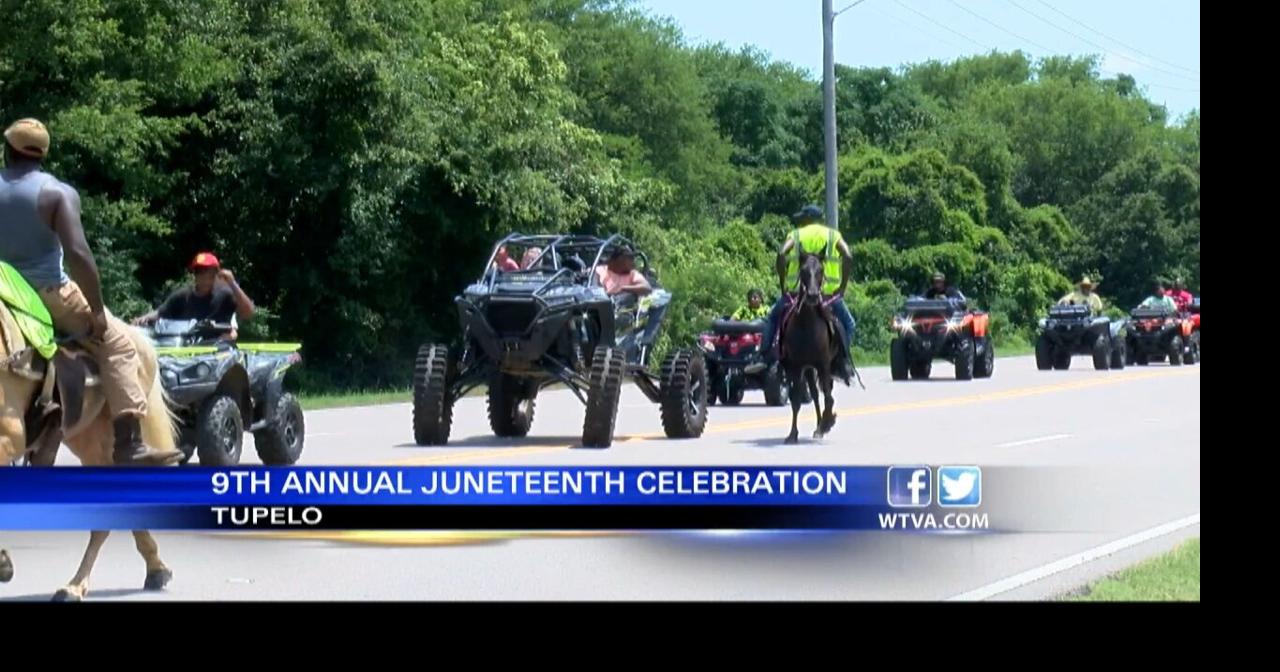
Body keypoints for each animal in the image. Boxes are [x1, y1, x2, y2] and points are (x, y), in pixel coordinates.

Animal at [773, 254, 844, 442]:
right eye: (803, 270)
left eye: (821, 270)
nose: (812, 295)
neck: (807, 325)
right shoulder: (796, 367)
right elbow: (796, 399)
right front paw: (792, 434)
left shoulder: (824, 365)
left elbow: (829, 397)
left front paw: (827, 422)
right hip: (808, 369)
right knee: (814, 395)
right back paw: (818, 425)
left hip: (816, 368)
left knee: (821, 395)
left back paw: (821, 426)